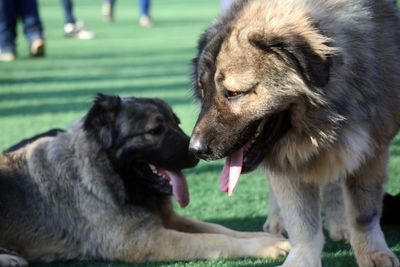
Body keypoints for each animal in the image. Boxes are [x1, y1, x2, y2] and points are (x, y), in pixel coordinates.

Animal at [0, 93, 290, 266]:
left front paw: (265, 237)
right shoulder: (144, 240)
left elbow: (222, 229)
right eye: (154, 130)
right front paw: (266, 247)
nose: (196, 152)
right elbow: (215, 240)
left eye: (177, 122)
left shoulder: (169, 219)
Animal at [189, 0, 400, 267]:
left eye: (235, 93)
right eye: (203, 91)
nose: (194, 149)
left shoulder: (371, 149)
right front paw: (301, 259)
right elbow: (302, 221)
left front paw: (373, 253)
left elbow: (364, 214)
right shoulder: (289, 161)